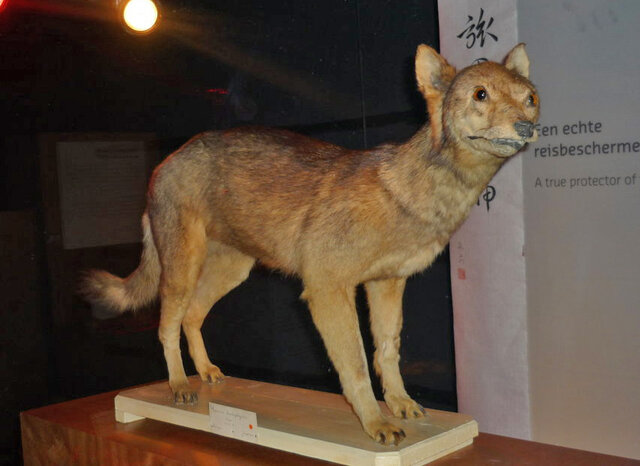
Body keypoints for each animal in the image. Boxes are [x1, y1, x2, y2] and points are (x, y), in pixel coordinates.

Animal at [83, 43, 539, 445]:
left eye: (530, 98)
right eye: (481, 94)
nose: (527, 127)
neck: (408, 193)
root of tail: (166, 161)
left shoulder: (387, 284)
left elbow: (387, 353)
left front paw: (401, 404)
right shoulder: (327, 289)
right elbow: (356, 366)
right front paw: (377, 425)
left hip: (232, 271)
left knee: (193, 316)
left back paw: (208, 372)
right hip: (182, 269)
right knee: (166, 325)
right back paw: (180, 385)